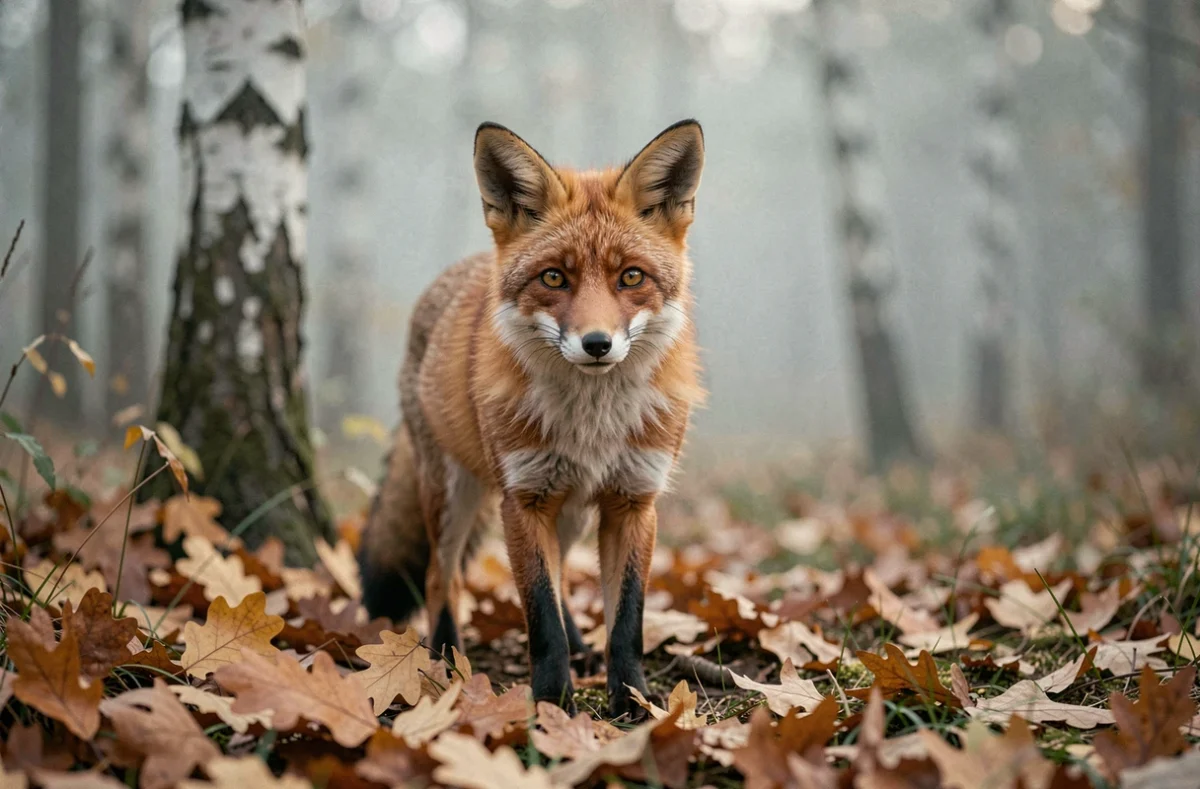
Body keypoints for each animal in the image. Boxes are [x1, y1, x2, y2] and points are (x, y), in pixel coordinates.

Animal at [358, 119, 706, 718]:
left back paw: (582, 645)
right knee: (439, 578)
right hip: (453, 495)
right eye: (554, 278)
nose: (597, 344)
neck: (591, 423)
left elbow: (627, 620)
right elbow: (540, 617)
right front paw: (551, 703)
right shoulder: (522, 500)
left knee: (563, 574)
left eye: (630, 277)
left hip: (571, 511)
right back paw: (446, 659)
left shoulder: (634, 501)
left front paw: (631, 700)